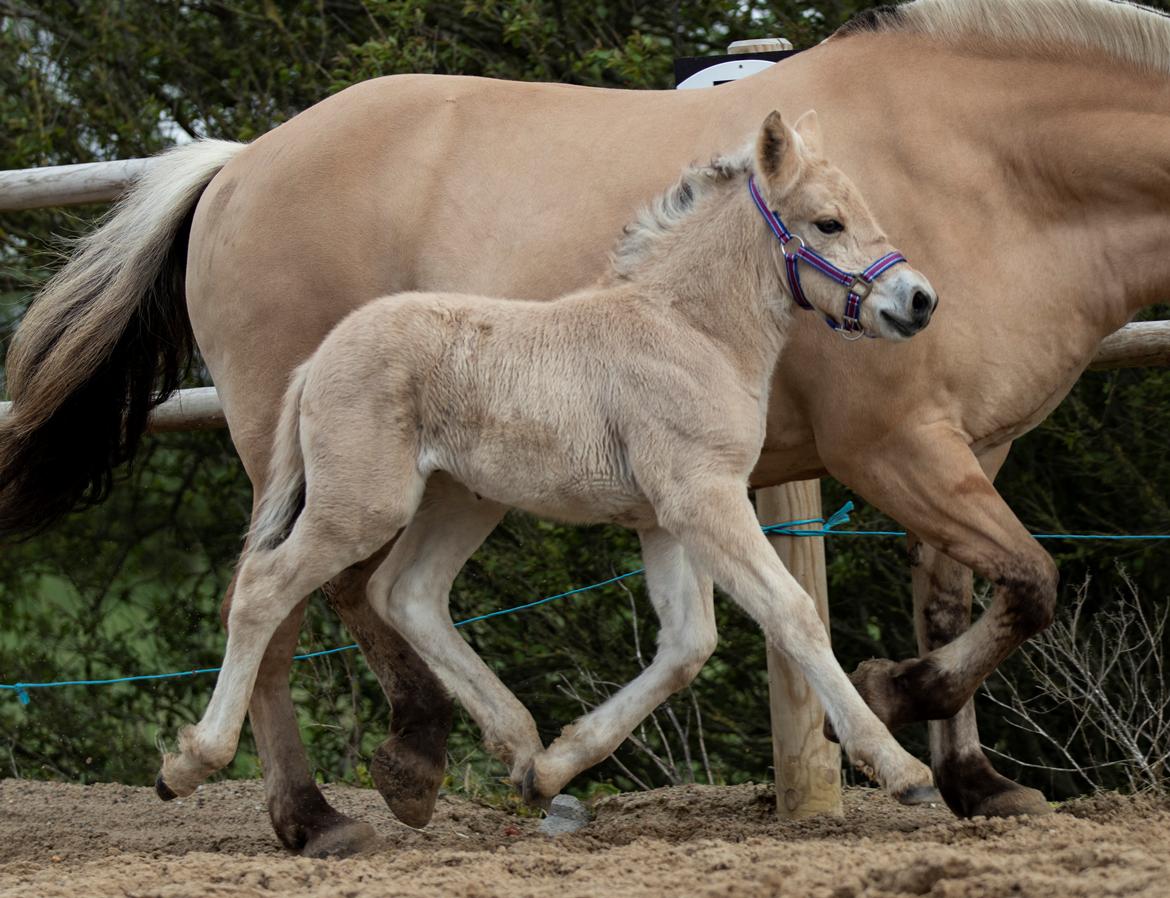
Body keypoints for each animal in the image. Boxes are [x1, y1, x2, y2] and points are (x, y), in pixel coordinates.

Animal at [157, 110, 940, 804]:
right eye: (828, 222)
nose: (919, 300)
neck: (690, 331)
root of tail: (318, 358)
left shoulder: (665, 519)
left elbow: (687, 645)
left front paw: (557, 767)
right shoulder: (703, 498)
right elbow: (792, 614)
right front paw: (902, 770)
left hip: (460, 499)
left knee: (406, 593)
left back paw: (521, 749)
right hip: (360, 506)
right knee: (264, 589)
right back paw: (191, 764)